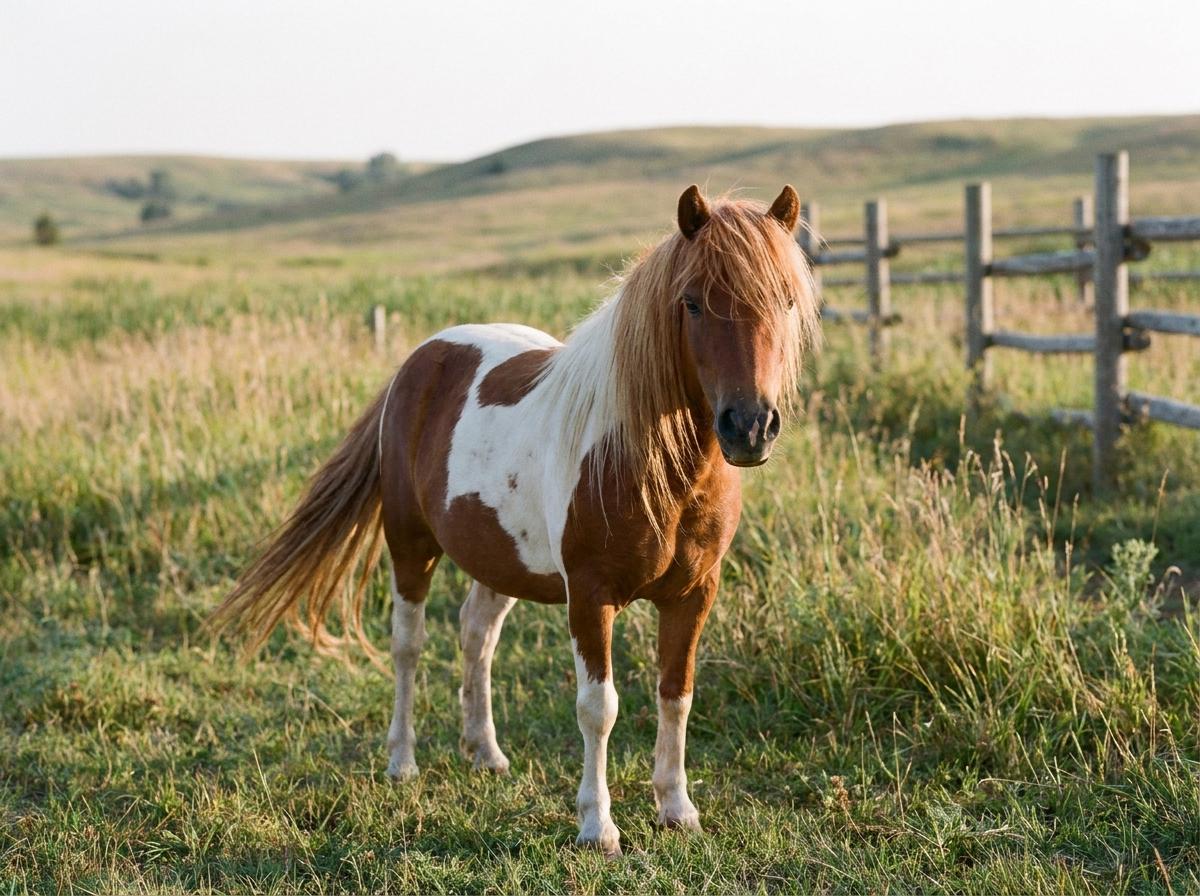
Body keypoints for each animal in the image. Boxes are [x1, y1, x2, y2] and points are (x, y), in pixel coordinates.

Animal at [212, 184, 819, 857]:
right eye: (691, 303)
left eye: (787, 299)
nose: (750, 427)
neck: (651, 463)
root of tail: (419, 360)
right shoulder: (591, 595)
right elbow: (598, 707)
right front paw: (597, 826)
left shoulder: (693, 593)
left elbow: (676, 694)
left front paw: (677, 808)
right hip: (410, 545)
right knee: (408, 645)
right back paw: (402, 762)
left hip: (502, 558)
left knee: (477, 634)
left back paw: (485, 752)